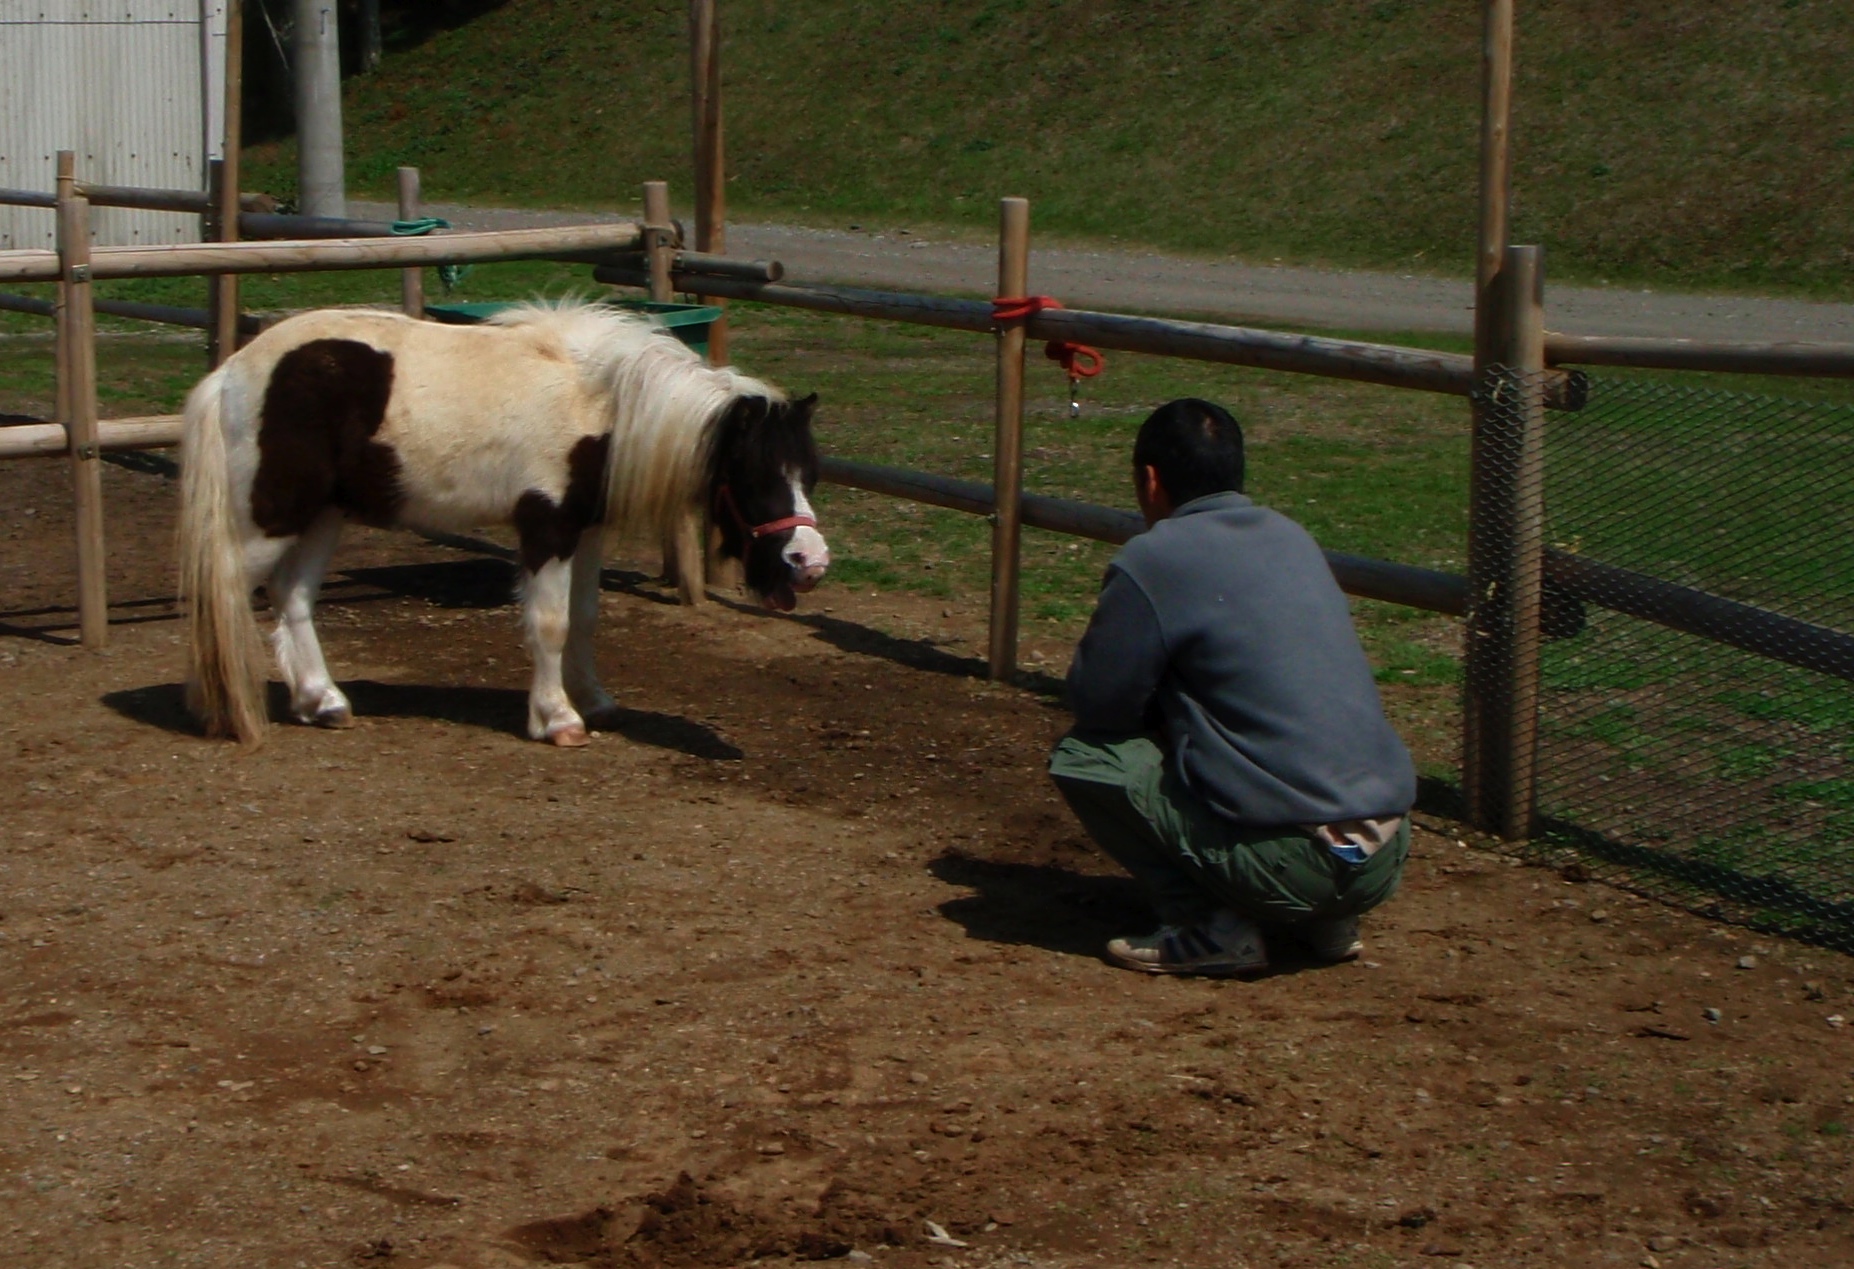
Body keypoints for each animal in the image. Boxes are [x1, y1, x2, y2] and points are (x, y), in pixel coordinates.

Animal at [177, 301, 829, 747]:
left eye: (809, 473)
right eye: (756, 476)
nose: (810, 563)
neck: (605, 401)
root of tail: (231, 373)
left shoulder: (586, 532)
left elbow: (585, 618)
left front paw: (595, 700)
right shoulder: (546, 529)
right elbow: (550, 623)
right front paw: (557, 718)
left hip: (323, 516)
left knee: (292, 596)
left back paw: (322, 702)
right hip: (269, 519)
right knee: (224, 595)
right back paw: (225, 713)